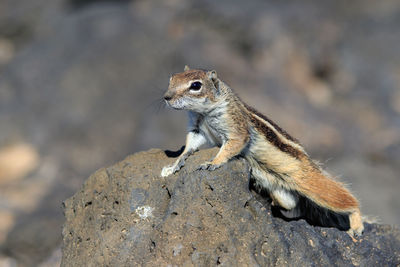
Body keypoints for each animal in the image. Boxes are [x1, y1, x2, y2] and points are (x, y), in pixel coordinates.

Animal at [161, 66, 364, 238]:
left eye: (196, 85)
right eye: (171, 78)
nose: (166, 97)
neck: (203, 112)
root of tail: (309, 161)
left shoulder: (236, 128)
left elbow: (232, 146)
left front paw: (213, 162)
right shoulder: (197, 128)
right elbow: (190, 146)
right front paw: (174, 164)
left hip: (308, 181)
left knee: (345, 199)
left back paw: (356, 225)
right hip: (280, 188)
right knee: (290, 202)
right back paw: (274, 202)